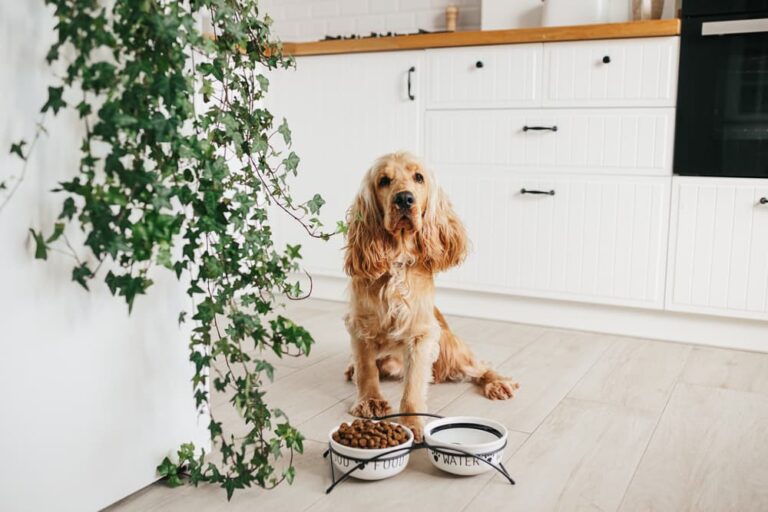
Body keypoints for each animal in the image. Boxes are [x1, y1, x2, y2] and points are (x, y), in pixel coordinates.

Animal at [344, 150, 520, 438]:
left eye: (419, 177)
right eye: (383, 181)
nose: (404, 199)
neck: (398, 259)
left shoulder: (421, 334)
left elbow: (414, 382)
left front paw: (411, 421)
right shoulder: (360, 326)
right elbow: (366, 370)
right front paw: (370, 401)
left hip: (451, 348)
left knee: (480, 366)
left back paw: (497, 383)